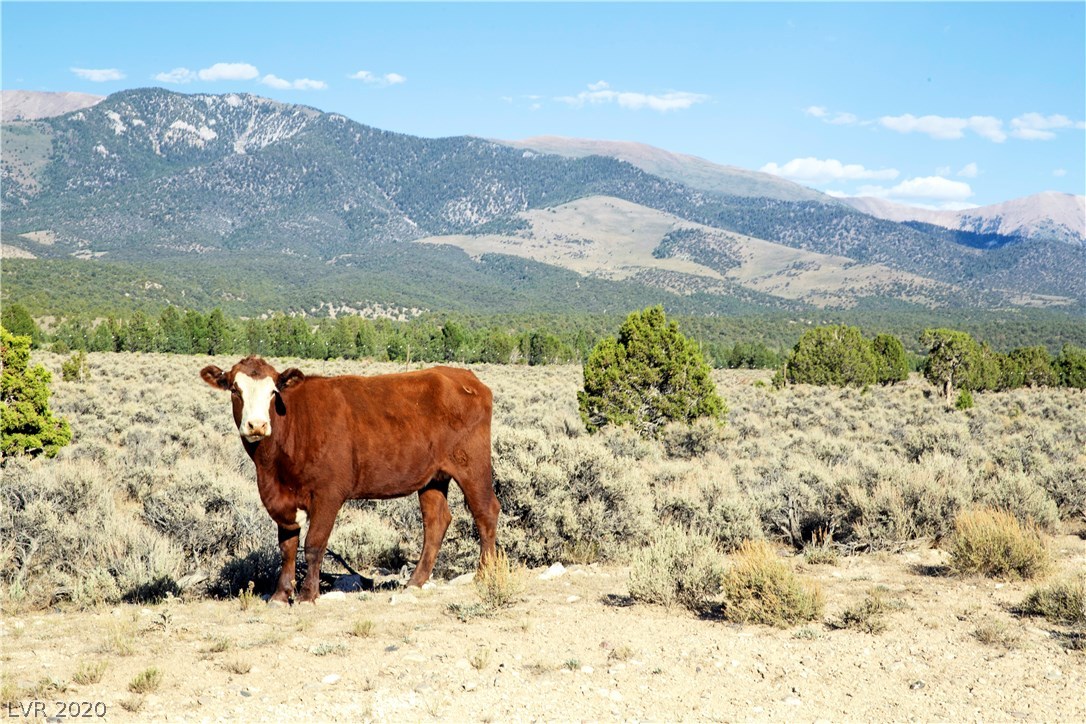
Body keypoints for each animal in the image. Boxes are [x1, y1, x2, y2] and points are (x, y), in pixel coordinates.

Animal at [198, 358, 497, 607]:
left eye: (273, 392)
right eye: (235, 390)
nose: (257, 425)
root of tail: (464, 377)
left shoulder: (328, 493)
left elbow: (314, 544)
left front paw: (307, 595)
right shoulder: (280, 498)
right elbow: (287, 547)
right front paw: (281, 595)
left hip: (471, 463)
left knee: (486, 511)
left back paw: (485, 573)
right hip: (433, 477)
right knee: (436, 521)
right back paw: (414, 582)